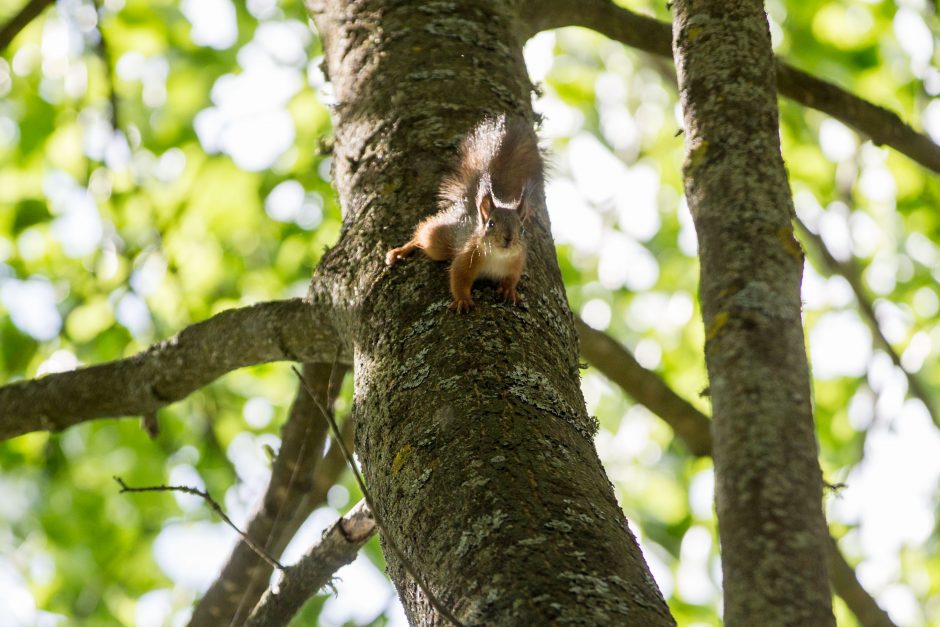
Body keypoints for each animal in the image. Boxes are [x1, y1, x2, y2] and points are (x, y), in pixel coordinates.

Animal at [384, 115, 544, 312]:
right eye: (491, 224)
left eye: (522, 229)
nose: (508, 238)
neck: (498, 256)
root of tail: (468, 205)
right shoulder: (468, 255)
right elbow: (458, 278)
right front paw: (463, 300)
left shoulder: (516, 262)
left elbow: (511, 279)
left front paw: (509, 290)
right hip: (440, 241)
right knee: (424, 236)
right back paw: (402, 250)